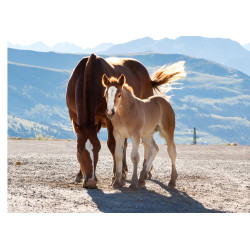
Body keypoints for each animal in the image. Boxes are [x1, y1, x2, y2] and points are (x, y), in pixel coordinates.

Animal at [66, 53, 186, 188]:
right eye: (79, 150)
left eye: (98, 148)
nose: (91, 182)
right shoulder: (74, 115)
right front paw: (80, 174)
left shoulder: (110, 120)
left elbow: (112, 145)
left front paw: (116, 177)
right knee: (146, 146)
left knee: (153, 147)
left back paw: (146, 173)